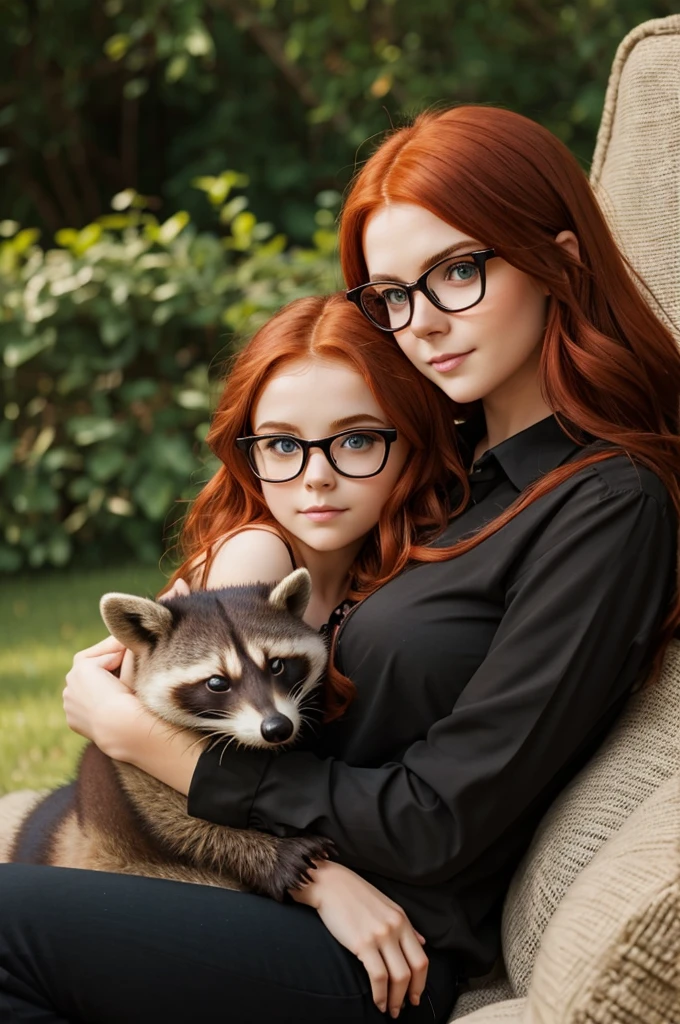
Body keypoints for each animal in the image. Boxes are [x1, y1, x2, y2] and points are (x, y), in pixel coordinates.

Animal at [0, 573, 333, 901]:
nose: (277, 728)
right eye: (217, 682)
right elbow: (159, 804)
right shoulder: (115, 775)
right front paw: (257, 850)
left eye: (277, 665)